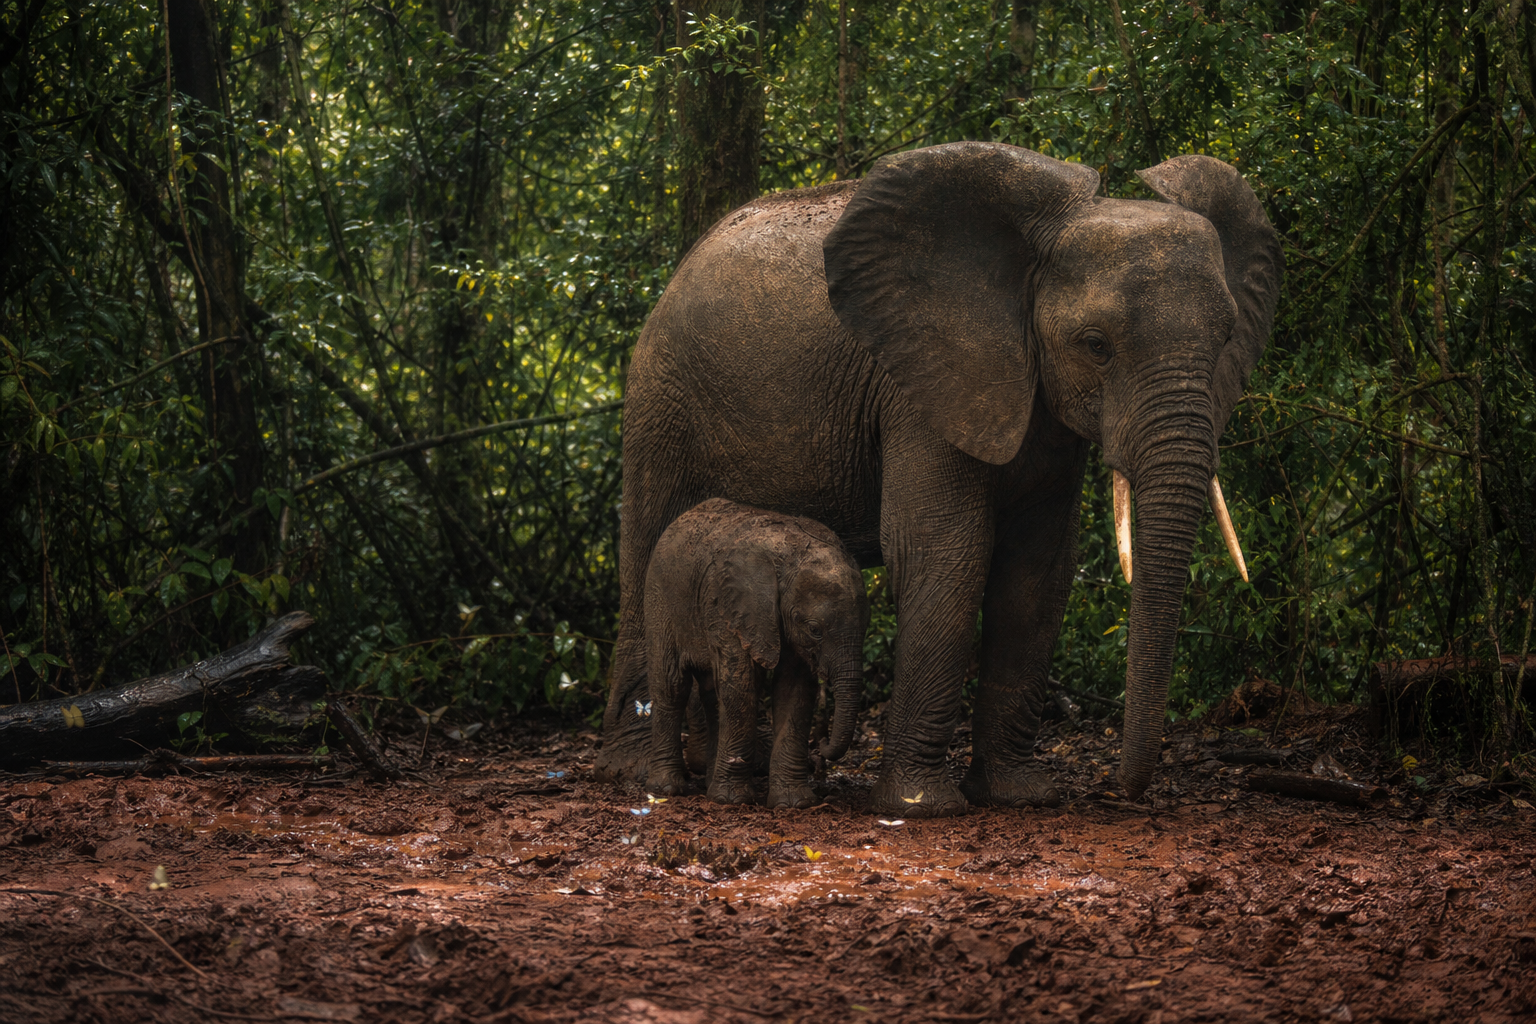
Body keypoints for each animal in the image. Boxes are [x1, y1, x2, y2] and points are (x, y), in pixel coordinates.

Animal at [644, 498, 870, 809]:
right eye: (815, 629)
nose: (821, 748)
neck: (790, 555)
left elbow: (794, 690)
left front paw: (793, 803)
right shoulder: (725, 604)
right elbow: (741, 685)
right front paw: (732, 800)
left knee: (712, 693)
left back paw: (708, 782)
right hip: (662, 599)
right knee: (672, 684)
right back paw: (666, 788)